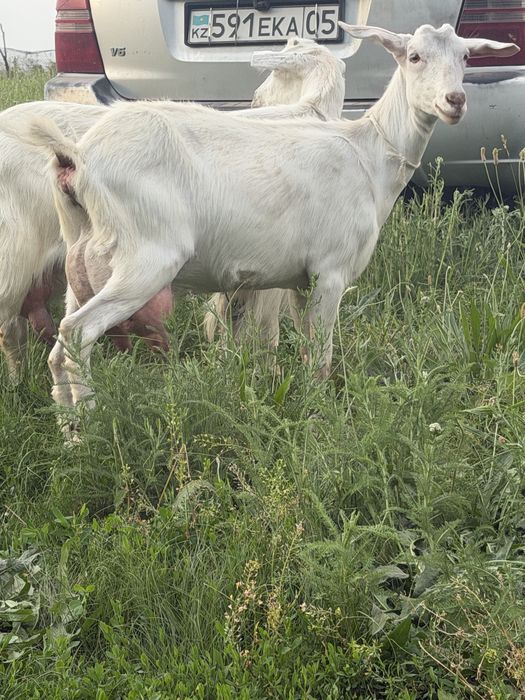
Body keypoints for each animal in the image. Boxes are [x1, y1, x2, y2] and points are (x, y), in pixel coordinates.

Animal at [28, 23, 518, 413]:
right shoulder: (331, 272)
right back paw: (91, 428)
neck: (369, 155)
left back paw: (69, 430)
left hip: (81, 258)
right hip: (144, 258)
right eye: (414, 56)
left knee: (58, 348)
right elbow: (321, 358)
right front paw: (319, 416)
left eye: (466, 57)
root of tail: (76, 158)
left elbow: (305, 350)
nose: (455, 100)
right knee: (78, 334)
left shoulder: (302, 280)